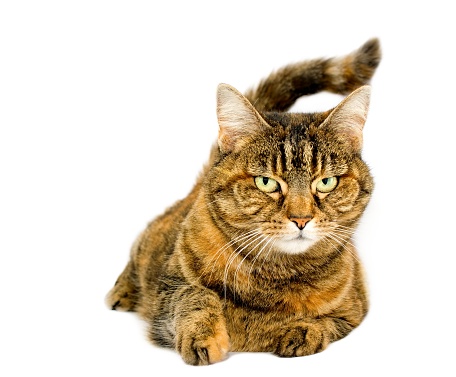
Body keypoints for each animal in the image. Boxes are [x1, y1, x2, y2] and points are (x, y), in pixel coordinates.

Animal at [106, 38, 382, 364]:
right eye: (266, 182)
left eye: (326, 182)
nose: (301, 218)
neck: (277, 273)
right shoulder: (169, 289)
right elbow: (195, 295)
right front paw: (204, 335)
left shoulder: (354, 311)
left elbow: (327, 323)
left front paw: (303, 329)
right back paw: (122, 291)